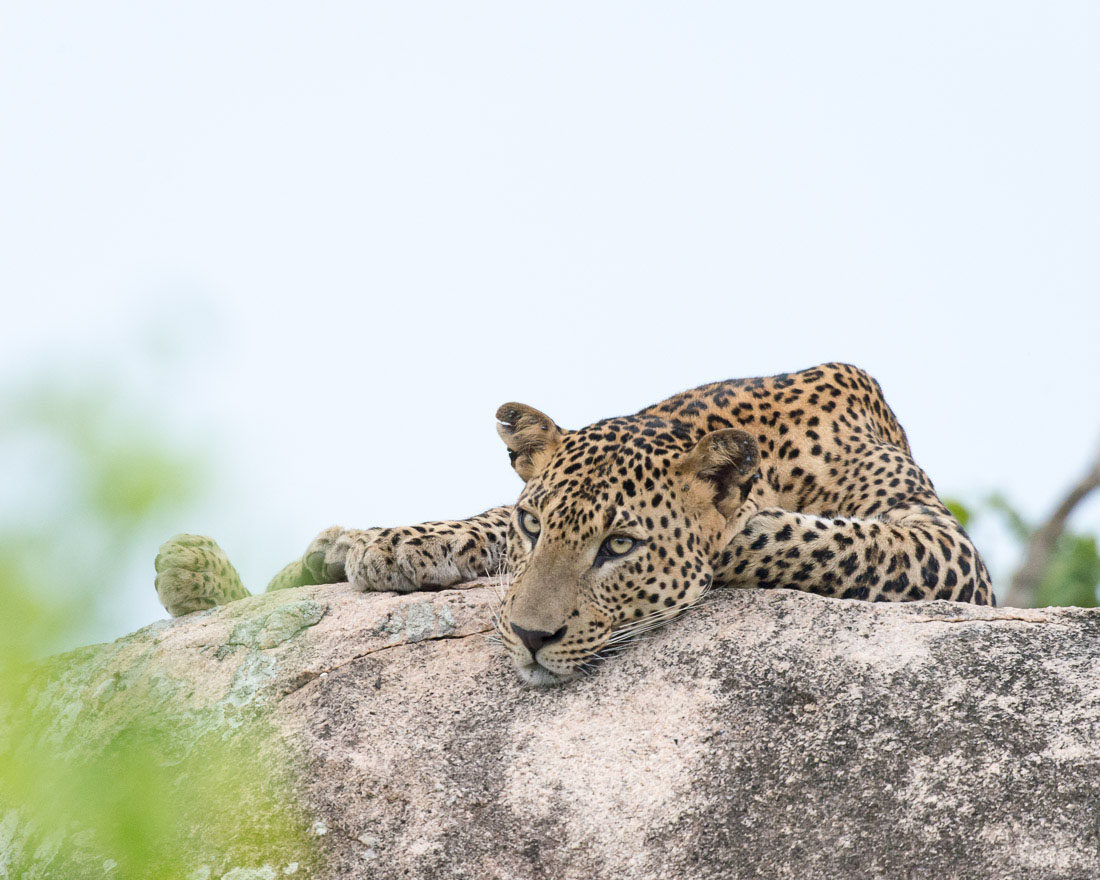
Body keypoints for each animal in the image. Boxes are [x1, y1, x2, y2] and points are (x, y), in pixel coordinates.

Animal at [157, 365, 998, 686]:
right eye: (538, 530)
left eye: (620, 547)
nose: (531, 638)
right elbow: (484, 520)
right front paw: (382, 545)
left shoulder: (942, 542)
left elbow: (810, 534)